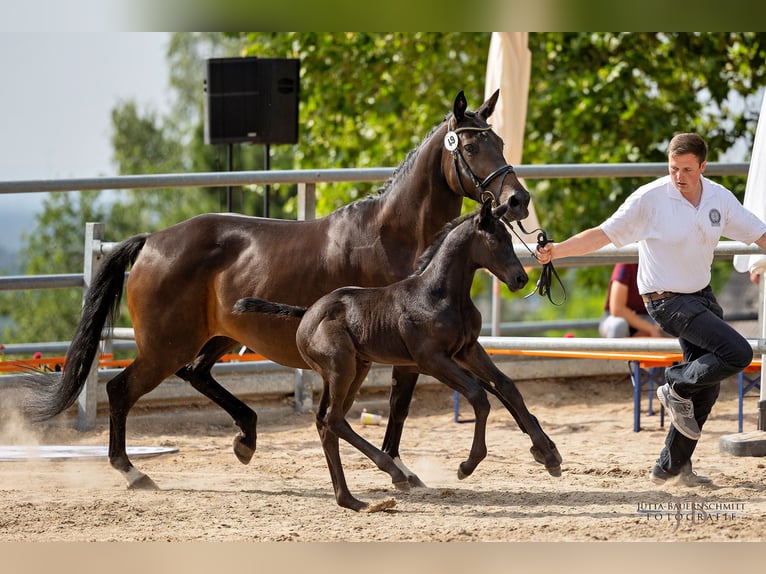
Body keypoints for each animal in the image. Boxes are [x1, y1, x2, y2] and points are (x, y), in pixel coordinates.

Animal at [234, 201, 564, 512]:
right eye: (494, 240)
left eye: (509, 236)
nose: (520, 278)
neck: (439, 295)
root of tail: (306, 314)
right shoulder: (432, 360)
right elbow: (478, 396)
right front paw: (467, 466)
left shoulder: (468, 350)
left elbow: (506, 386)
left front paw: (549, 456)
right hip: (342, 368)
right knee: (334, 419)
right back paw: (392, 475)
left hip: (355, 369)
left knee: (327, 422)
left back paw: (352, 499)